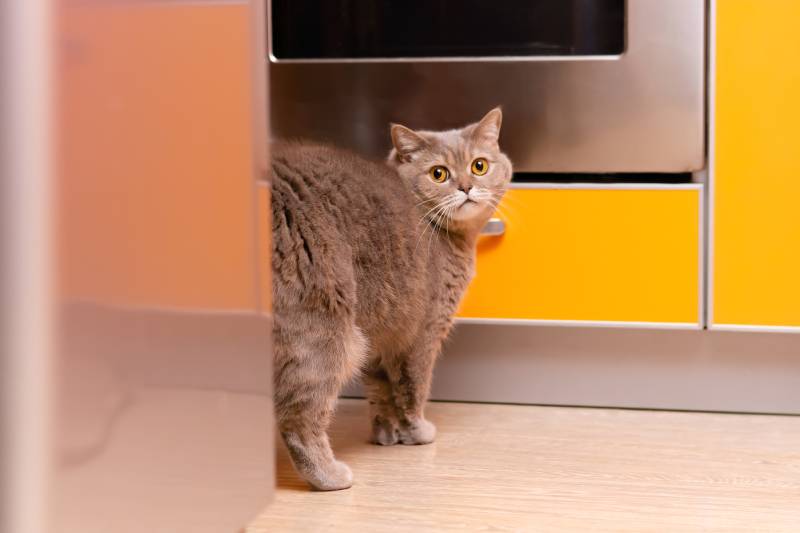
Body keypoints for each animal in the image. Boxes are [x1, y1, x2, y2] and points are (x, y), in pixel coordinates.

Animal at [272, 108, 512, 490]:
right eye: (438, 173)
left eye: (479, 166)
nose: (466, 187)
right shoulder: (424, 330)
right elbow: (414, 387)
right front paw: (418, 432)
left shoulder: (381, 331)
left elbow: (382, 390)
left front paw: (387, 434)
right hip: (324, 333)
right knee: (300, 417)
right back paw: (331, 476)